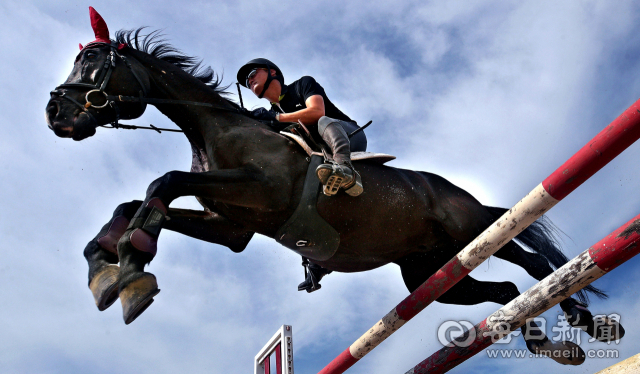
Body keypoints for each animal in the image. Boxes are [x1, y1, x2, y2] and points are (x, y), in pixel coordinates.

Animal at [45, 8, 620, 366]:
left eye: (92, 60)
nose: (56, 114)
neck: (213, 128)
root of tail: (458, 192)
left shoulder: (261, 192)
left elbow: (160, 183)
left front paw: (130, 265)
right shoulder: (232, 226)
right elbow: (137, 203)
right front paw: (110, 274)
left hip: (471, 228)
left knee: (530, 259)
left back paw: (580, 315)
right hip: (431, 270)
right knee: (501, 291)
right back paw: (546, 340)